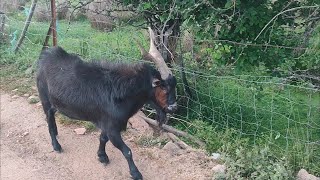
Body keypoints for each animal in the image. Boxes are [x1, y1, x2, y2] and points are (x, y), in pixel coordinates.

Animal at [37, 44, 178, 180]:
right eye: (163, 88)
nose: (174, 107)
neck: (121, 93)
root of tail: (44, 56)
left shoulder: (107, 123)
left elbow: (103, 138)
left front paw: (102, 156)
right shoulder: (112, 128)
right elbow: (127, 151)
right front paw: (136, 173)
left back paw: (56, 133)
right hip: (45, 98)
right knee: (48, 118)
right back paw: (56, 145)